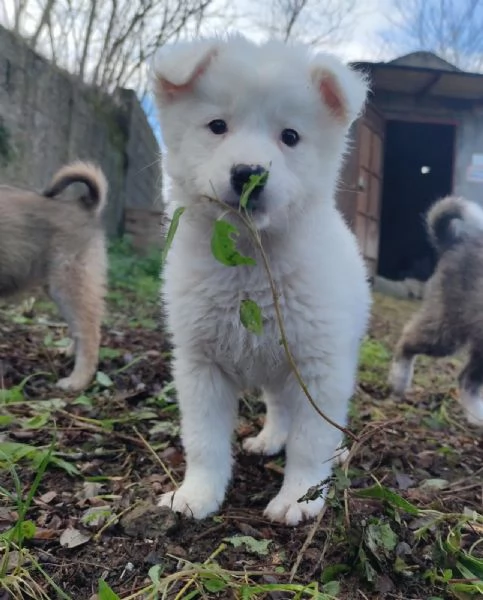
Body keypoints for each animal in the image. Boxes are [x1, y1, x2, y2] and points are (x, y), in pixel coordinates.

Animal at [0, 162, 108, 392]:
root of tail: (83, 206)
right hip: (61, 286)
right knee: (79, 327)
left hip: (69, 283)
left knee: (89, 332)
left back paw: (77, 380)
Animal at [153, 36, 372, 524]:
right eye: (217, 126)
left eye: (290, 136)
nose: (249, 173)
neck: (250, 260)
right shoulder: (201, 365)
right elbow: (204, 441)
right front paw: (197, 494)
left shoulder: (318, 365)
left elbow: (311, 441)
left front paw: (300, 497)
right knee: (278, 406)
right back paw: (270, 438)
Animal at [388, 195, 483, 424]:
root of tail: (454, 243)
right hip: (446, 328)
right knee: (407, 339)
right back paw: (399, 380)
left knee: (467, 378)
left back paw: (477, 416)